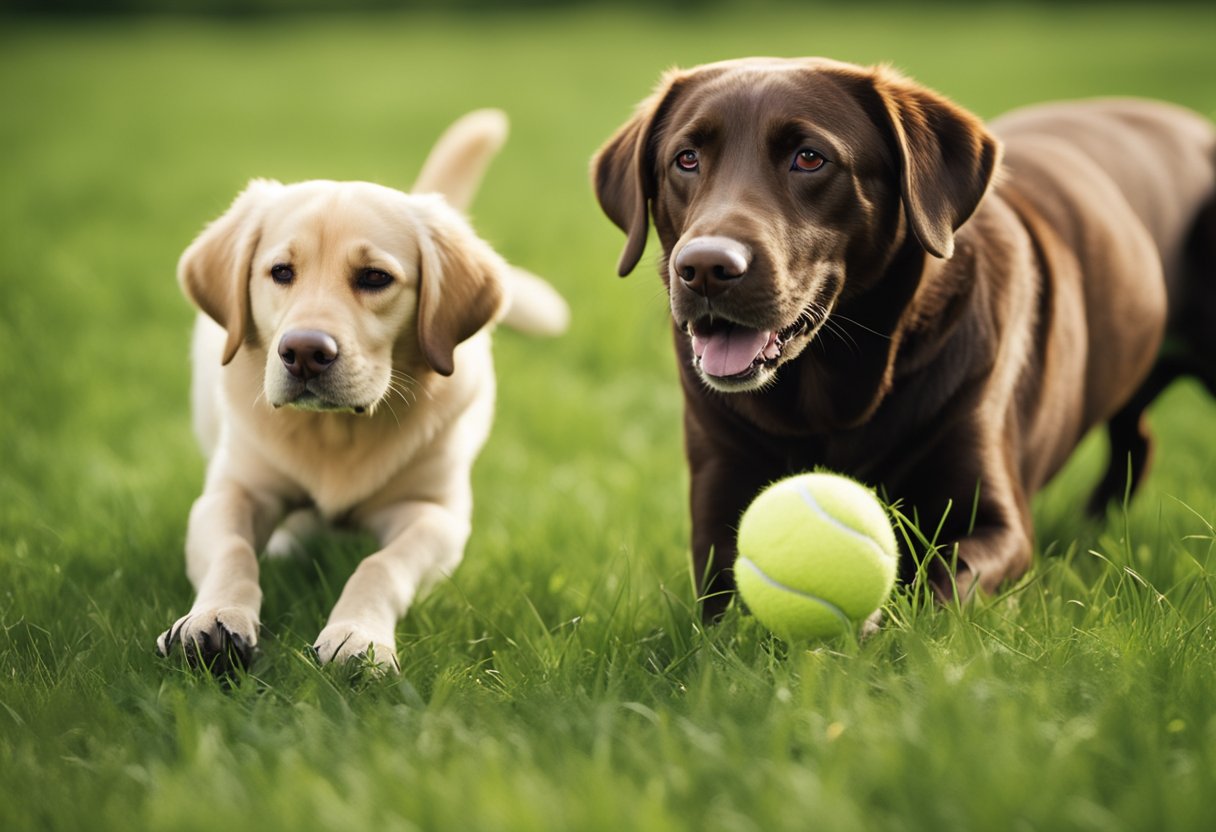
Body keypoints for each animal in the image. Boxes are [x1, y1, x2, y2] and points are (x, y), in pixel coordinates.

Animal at [156, 110, 569, 671]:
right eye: (280, 272)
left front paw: (359, 636)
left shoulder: (434, 514)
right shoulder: (232, 489)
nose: (304, 352)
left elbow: (381, 565)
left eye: (374, 277)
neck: (336, 433)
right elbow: (233, 552)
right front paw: (214, 617)